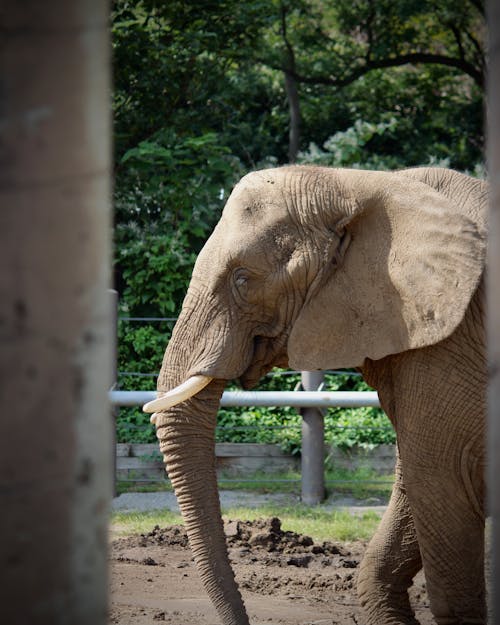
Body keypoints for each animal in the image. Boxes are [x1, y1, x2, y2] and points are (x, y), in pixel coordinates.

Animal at [143, 166, 486, 624]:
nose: (245, 619)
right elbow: (416, 485)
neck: (362, 184)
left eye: (242, 279)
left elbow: (441, 479)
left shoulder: (451, 341)